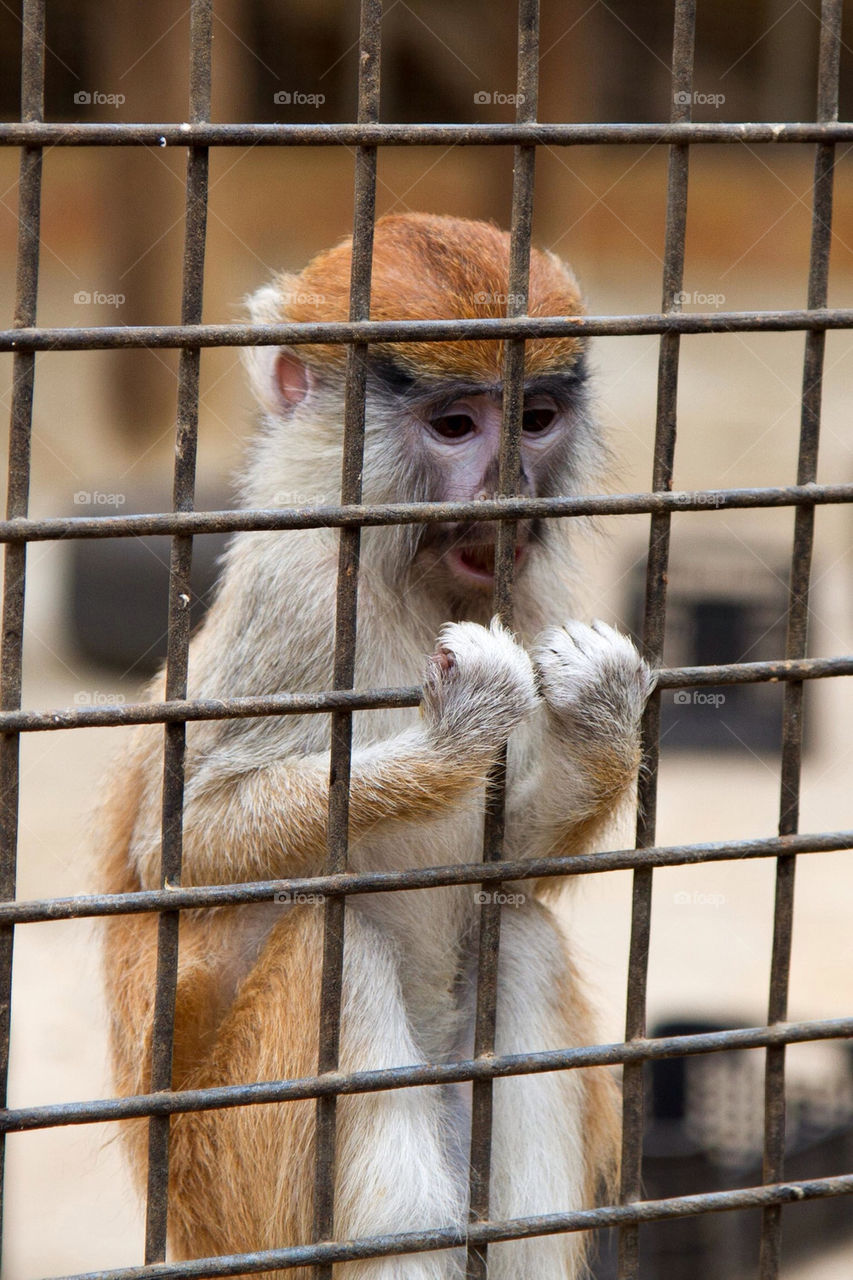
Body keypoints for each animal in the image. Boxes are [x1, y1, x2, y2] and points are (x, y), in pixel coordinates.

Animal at [101, 213, 654, 1280]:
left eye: (535, 418)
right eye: (454, 427)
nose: (511, 491)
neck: (404, 573)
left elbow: (510, 867)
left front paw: (604, 715)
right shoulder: (301, 586)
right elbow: (184, 844)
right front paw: (452, 738)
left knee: (517, 938)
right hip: (237, 1181)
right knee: (337, 943)